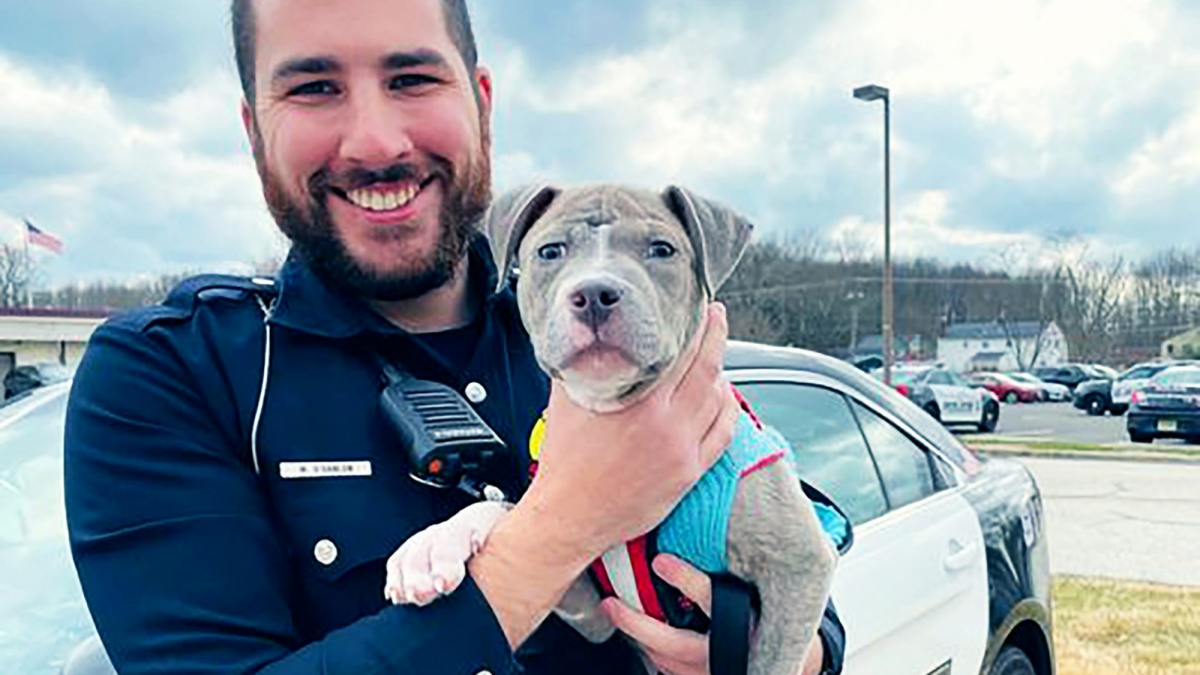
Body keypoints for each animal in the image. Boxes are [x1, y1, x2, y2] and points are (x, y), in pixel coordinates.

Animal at [384, 183, 835, 672]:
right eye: (550, 251)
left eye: (662, 249)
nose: (595, 292)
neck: (609, 403)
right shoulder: (593, 607)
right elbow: (505, 510)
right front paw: (430, 548)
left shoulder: (799, 564)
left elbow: (769, 662)